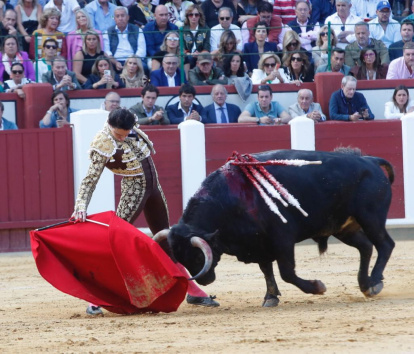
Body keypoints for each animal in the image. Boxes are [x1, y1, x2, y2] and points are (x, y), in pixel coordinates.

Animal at [155, 149, 394, 306]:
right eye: (180, 259)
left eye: (197, 257)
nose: (205, 280)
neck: (230, 200)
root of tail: (370, 161)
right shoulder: (258, 242)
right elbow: (266, 269)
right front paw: (270, 297)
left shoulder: (282, 239)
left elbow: (286, 272)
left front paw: (317, 287)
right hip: (344, 227)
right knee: (366, 247)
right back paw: (366, 285)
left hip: (371, 218)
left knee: (385, 245)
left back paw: (375, 281)